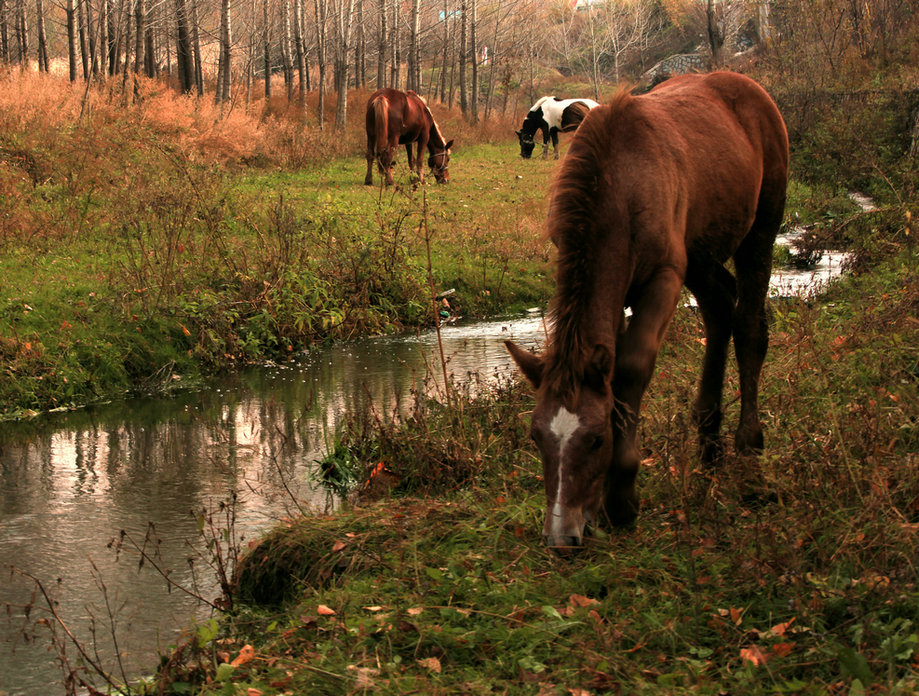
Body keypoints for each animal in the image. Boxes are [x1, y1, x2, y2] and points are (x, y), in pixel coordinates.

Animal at [504, 70, 792, 548]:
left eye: (597, 439)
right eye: (535, 436)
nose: (563, 536)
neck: (620, 186)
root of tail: (751, 89)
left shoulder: (663, 278)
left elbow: (632, 366)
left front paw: (621, 498)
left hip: (758, 233)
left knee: (750, 324)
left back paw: (748, 447)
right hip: (701, 257)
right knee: (719, 308)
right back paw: (708, 438)